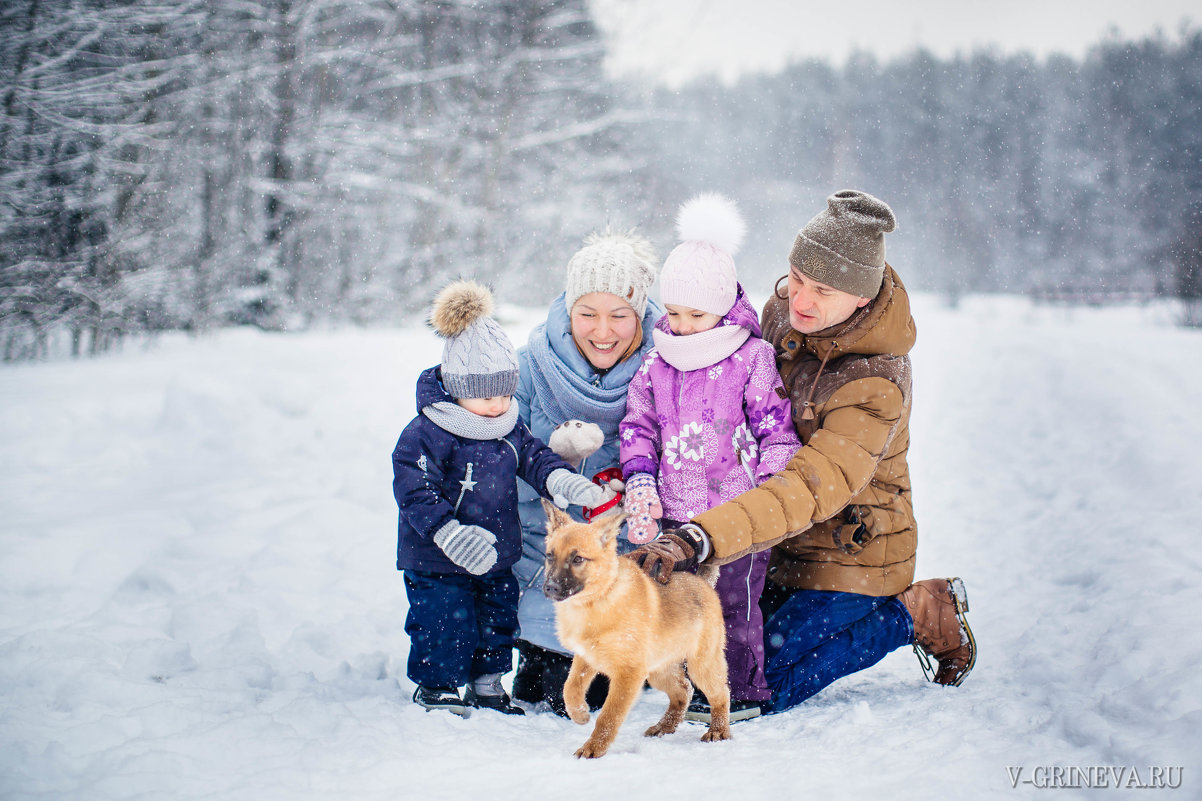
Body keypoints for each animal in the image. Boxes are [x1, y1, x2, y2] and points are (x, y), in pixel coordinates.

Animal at [543, 500, 730, 755]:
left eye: (578, 559)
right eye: (549, 556)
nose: (550, 588)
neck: (598, 600)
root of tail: (703, 583)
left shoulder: (628, 674)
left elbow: (609, 716)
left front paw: (593, 749)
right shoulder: (586, 657)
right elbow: (570, 687)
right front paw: (580, 714)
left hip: (701, 665)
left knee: (720, 693)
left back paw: (718, 730)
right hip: (659, 669)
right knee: (684, 690)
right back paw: (664, 727)